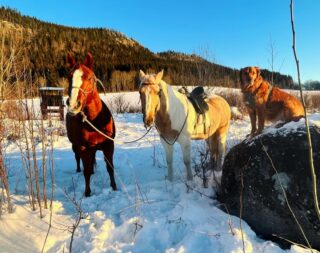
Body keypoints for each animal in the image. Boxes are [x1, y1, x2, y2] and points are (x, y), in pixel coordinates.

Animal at [65, 52, 116, 197]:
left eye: (88, 78)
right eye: (69, 77)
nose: (73, 105)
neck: (95, 122)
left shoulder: (109, 146)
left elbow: (110, 168)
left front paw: (114, 188)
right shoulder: (83, 148)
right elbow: (86, 171)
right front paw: (87, 193)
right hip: (75, 146)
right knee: (78, 159)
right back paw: (78, 169)